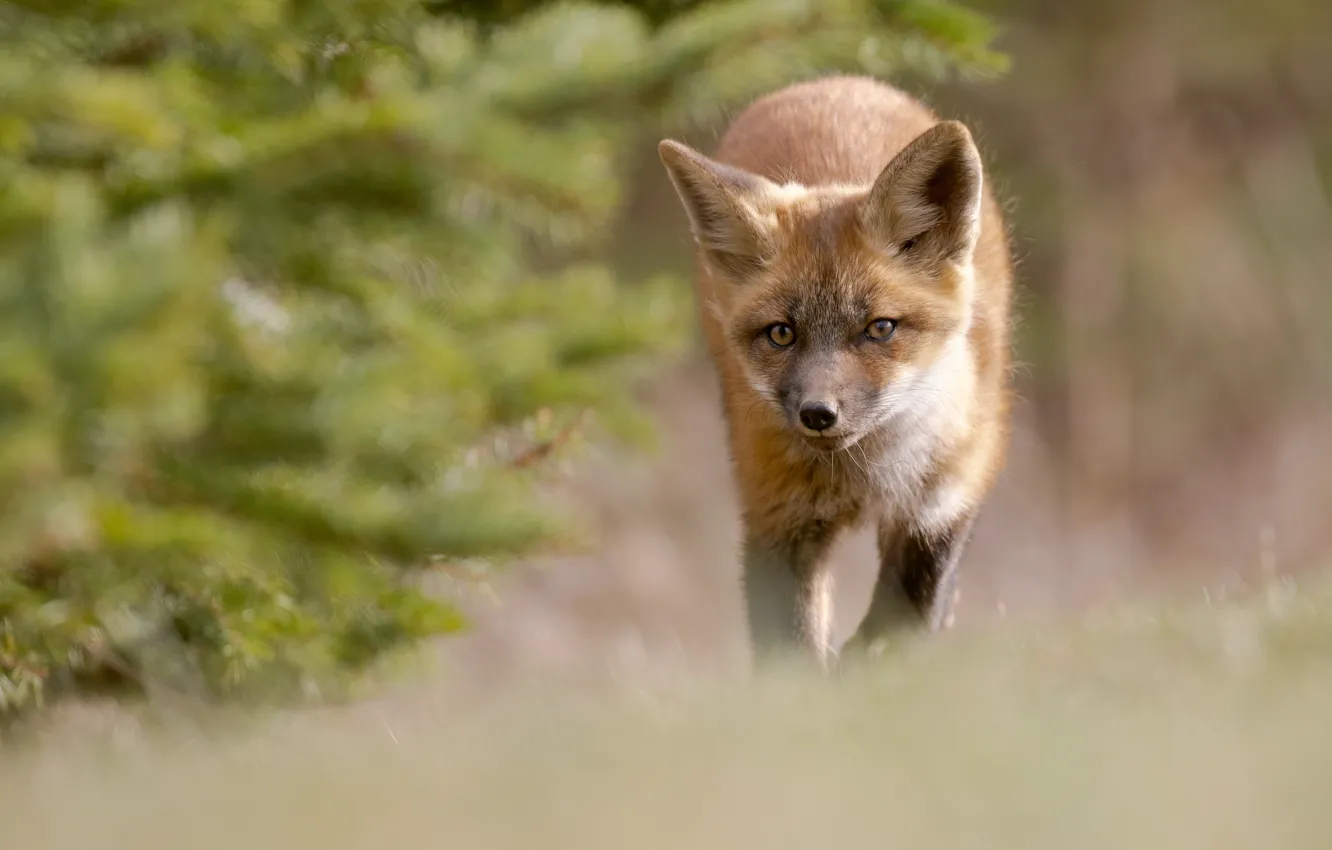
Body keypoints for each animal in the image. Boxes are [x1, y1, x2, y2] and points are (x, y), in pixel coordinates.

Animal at [657, 75, 1014, 668]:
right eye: (782, 333)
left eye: (880, 329)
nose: (818, 414)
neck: (865, 474)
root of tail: (830, 82)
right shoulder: (778, 516)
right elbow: (792, 647)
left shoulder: (941, 502)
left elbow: (903, 619)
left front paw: (874, 666)